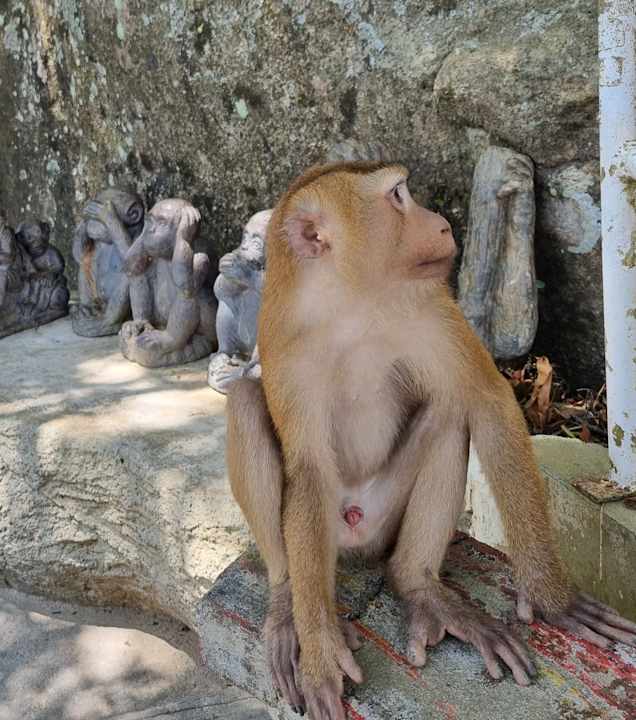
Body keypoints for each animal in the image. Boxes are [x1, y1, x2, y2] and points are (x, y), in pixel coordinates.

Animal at [226, 162, 636, 720]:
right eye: (399, 196)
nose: (441, 223)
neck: (353, 302)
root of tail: (356, 531)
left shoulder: (433, 308)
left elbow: (486, 401)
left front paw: (552, 597)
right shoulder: (287, 344)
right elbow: (307, 468)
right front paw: (319, 655)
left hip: (382, 518)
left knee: (449, 410)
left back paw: (419, 586)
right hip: (335, 534)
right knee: (245, 400)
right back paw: (290, 605)